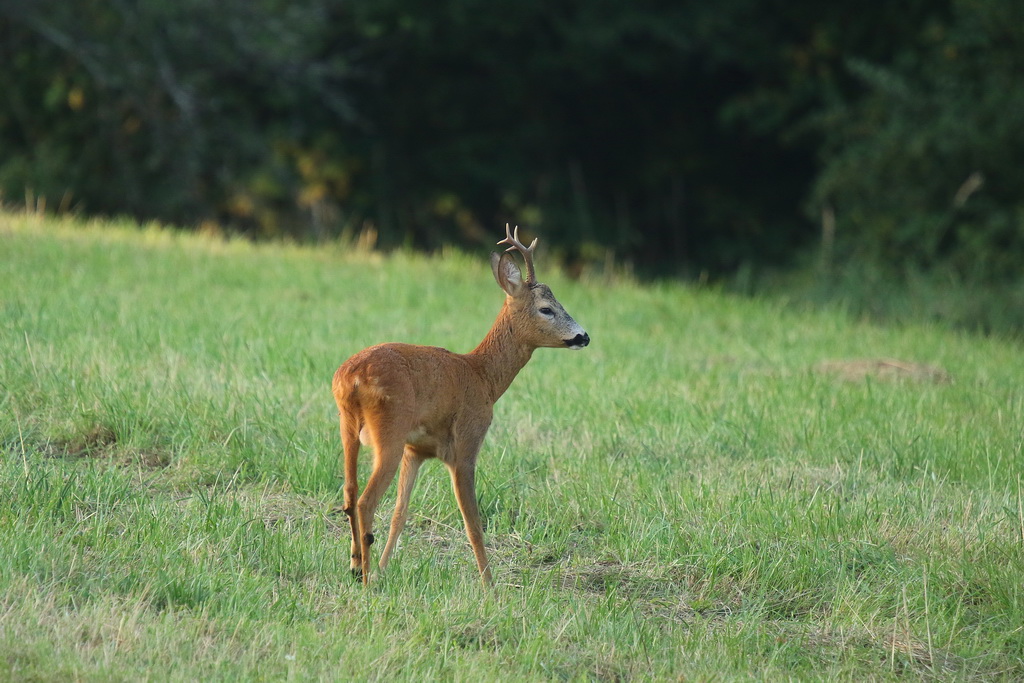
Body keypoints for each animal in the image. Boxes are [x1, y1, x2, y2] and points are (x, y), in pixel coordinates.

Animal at [333, 225, 593, 589]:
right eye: (546, 308)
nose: (584, 336)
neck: (484, 376)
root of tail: (351, 378)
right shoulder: (467, 440)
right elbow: (473, 522)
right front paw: (491, 586)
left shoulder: (416, 449)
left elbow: (401, 512)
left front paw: (385, 566)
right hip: (390, 430)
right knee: (365, 501)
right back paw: (366, 577)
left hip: (348, 426)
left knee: (348, 492)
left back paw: (357, 565)